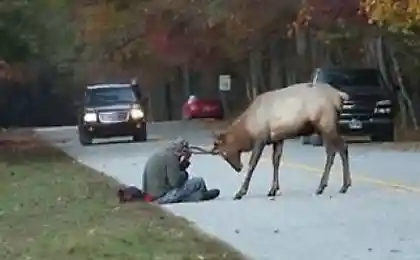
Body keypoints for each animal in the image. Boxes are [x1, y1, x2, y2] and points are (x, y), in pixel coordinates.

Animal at [210, 82, 352, 200]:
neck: (247, 130)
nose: (238, 168)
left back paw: (341, 186)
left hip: (326, 124)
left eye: (224, 153)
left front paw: (240, 192)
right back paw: (326, 186)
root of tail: (340, 95)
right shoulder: (277, 139)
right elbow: (276, 161)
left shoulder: (260, 138)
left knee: (342, 147)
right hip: (324, 128)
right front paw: (273, 189)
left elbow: (252, 164)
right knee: (332, 151)